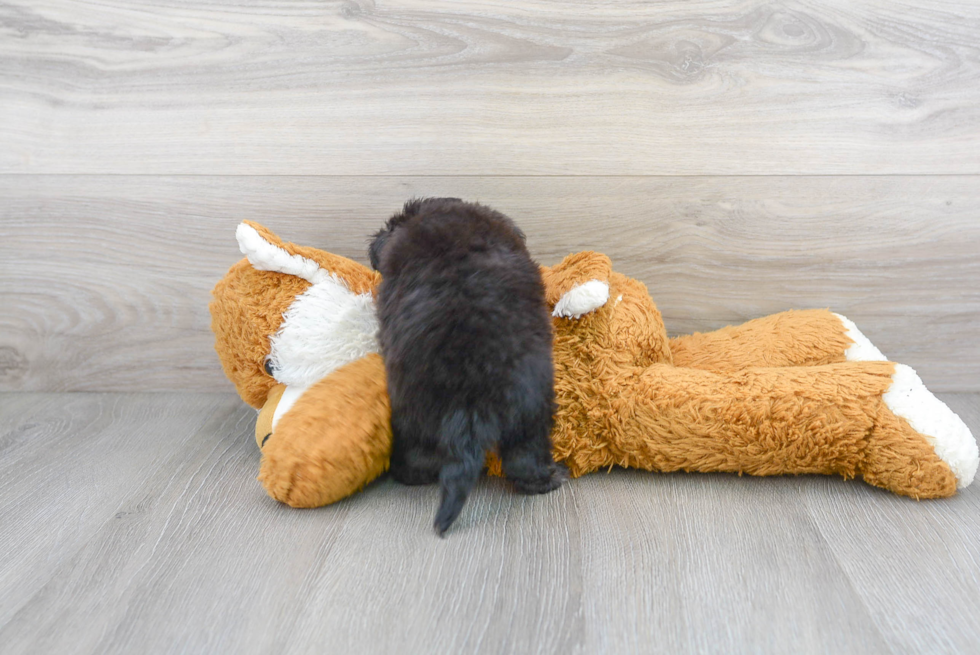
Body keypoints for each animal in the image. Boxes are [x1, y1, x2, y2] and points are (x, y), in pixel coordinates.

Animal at [370, 197, 568, 536]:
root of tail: (468, 401)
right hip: (532, 409)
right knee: (523, 457)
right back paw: (548, 478)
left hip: (416, 413)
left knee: (422, 456)